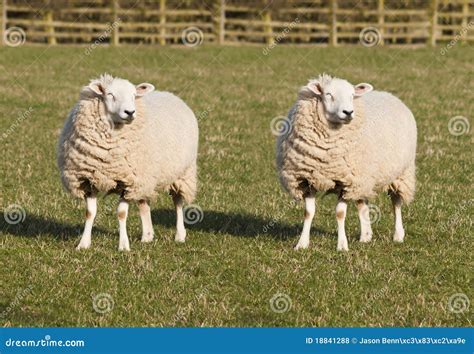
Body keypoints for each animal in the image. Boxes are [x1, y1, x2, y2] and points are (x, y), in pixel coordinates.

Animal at [57, 73, 198, 252]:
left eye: (133, 95)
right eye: (110, 94)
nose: (130, 112)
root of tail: (171, 95)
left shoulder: (128, 182)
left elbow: (121, 214)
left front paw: (123, 246)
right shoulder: (88, 180)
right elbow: (90, 213)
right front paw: (83, 244)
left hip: (182, 172)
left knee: (178, 202)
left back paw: (180, 235)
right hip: (145, 177)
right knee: (144, 203)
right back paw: (147, 236)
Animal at [276, 73, 416, 252]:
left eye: (352, 95)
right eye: (328, 94)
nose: (348, 112)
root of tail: (390, 95)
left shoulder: (346, 182)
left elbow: (340, 214)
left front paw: (342, 246)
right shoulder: (307, 179)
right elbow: (308, 212)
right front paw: (302, 244)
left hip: (401, 173)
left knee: (396, 203)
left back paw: (398, 235)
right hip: (363, 177)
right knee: (362, 204)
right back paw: (366, 236)